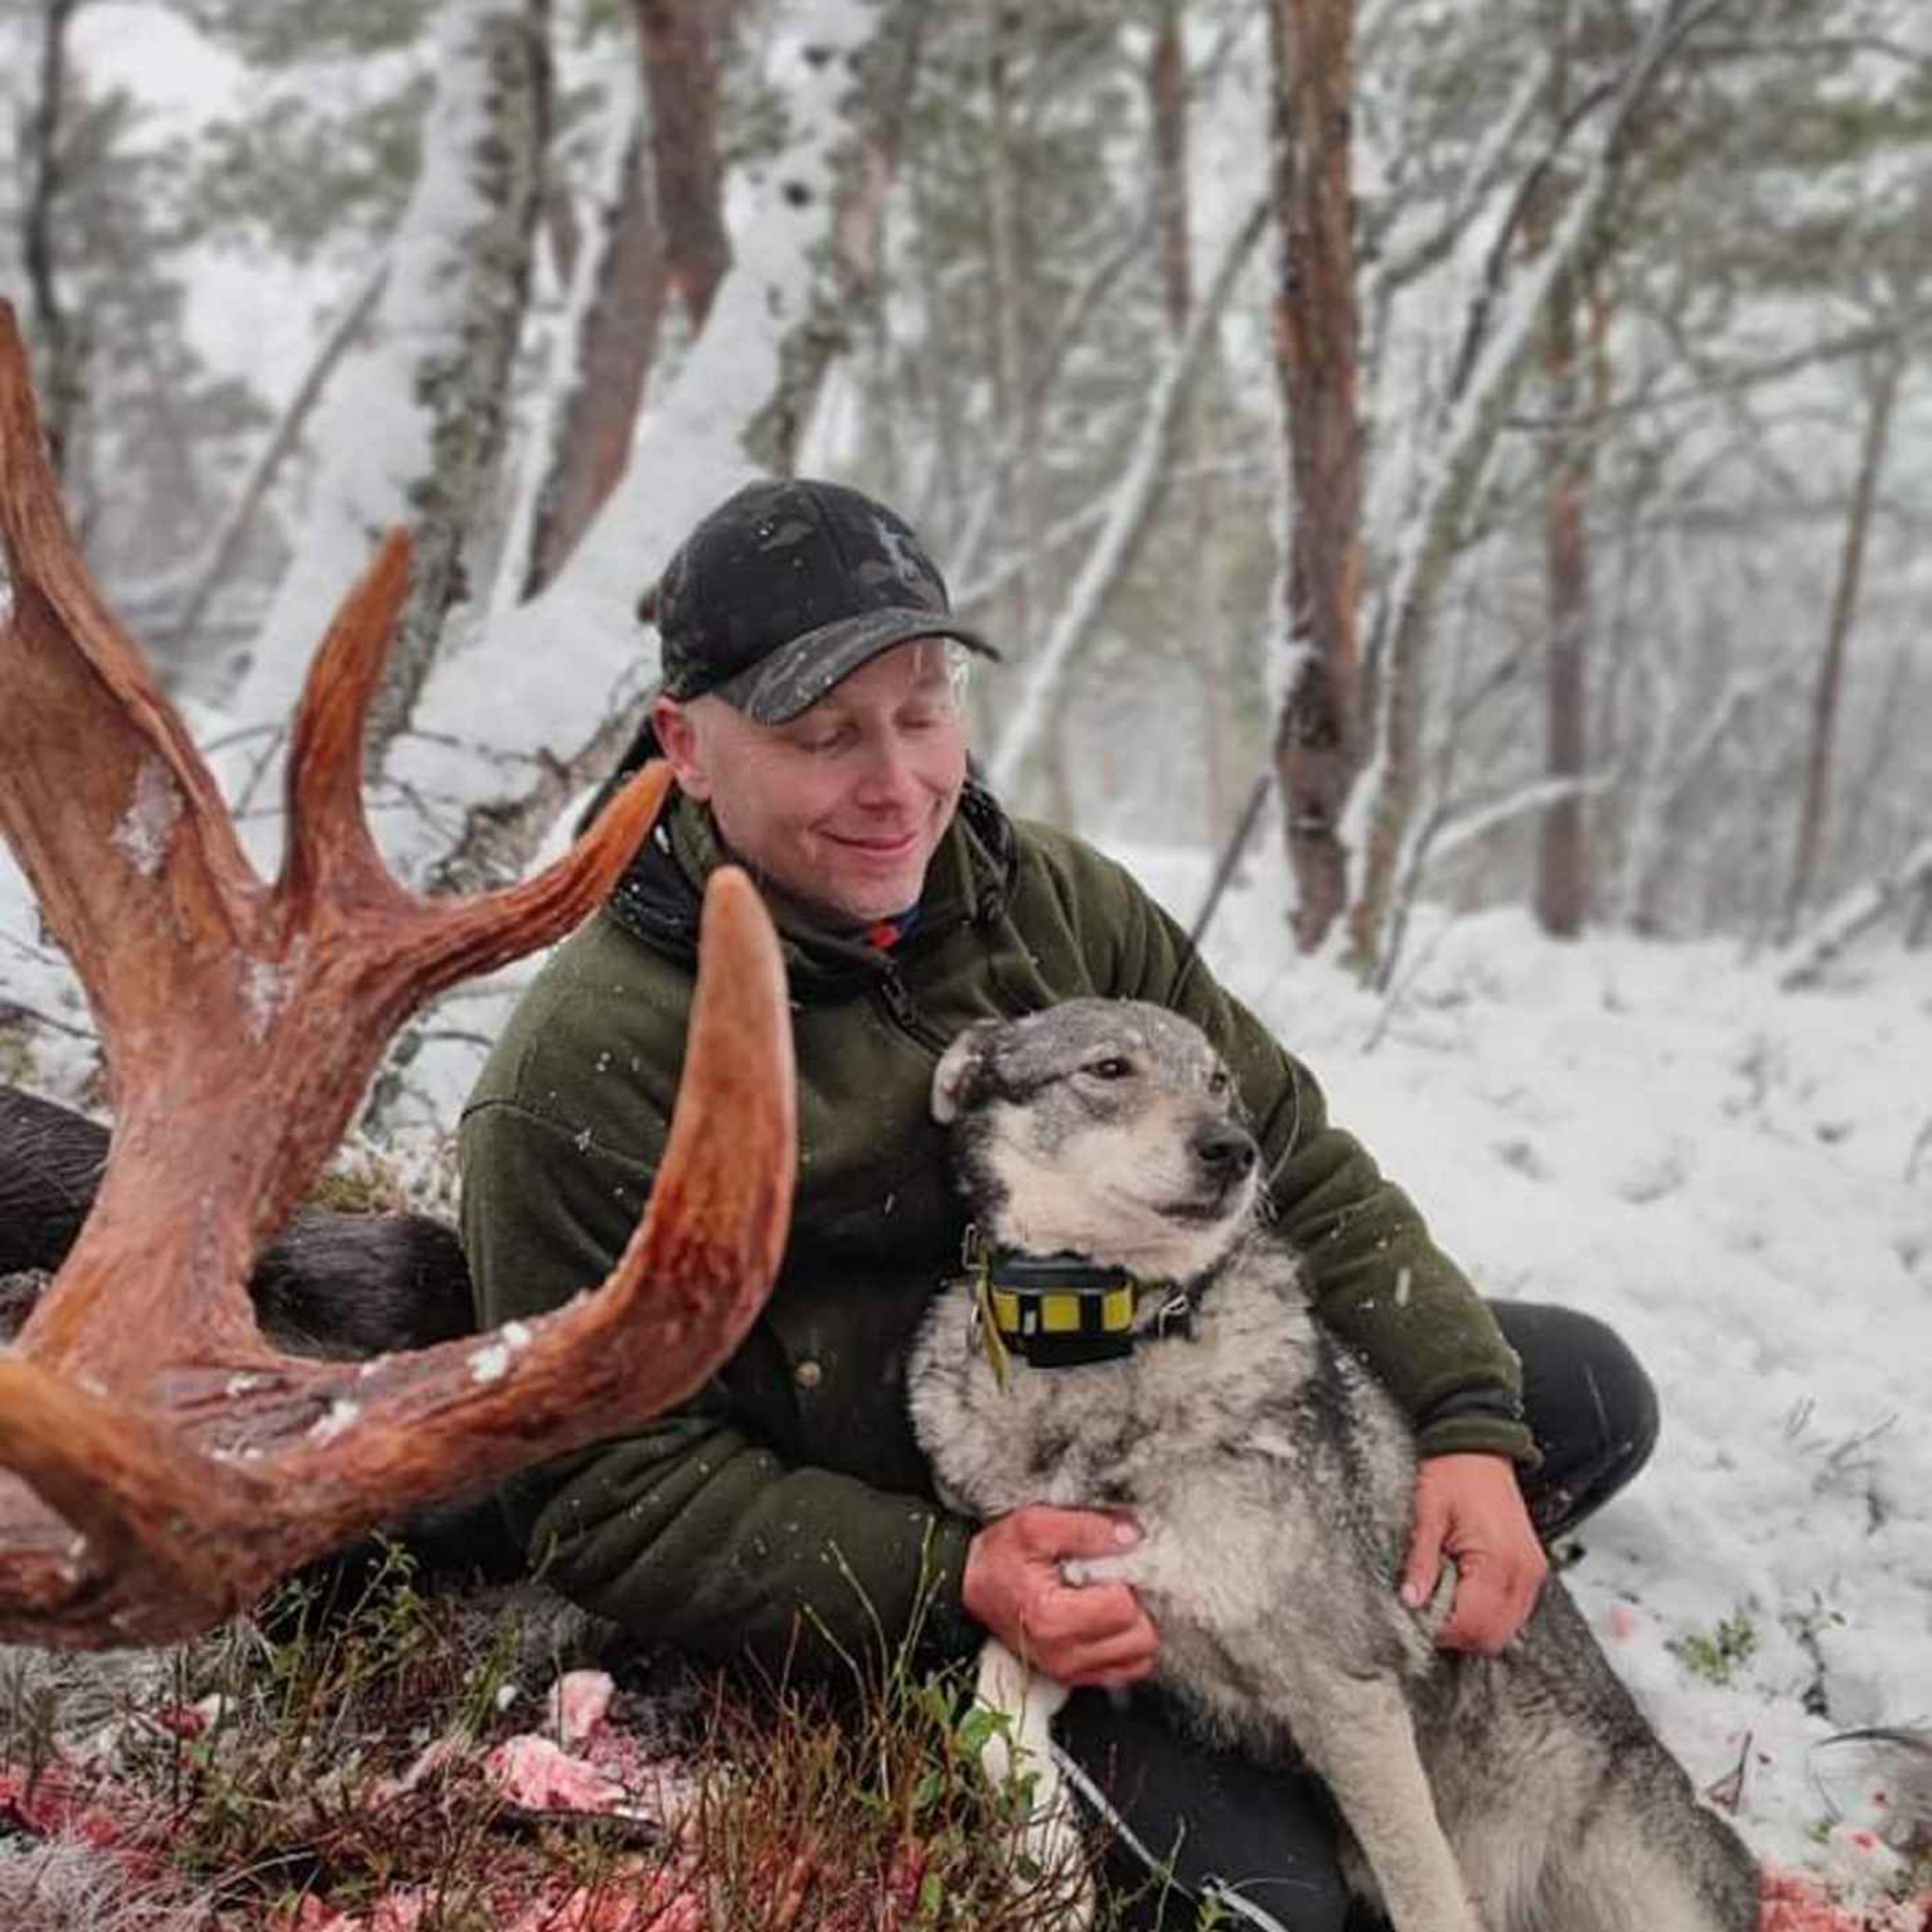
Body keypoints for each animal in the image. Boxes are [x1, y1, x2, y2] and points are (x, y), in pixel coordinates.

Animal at [908, 1005, 1770, 1924]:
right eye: (1109, 1069)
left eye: (1220, 1081)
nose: (1235, 1151)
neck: (1108, 1345)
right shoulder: (1076, 1615)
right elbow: (993, 1716)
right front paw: (1051, 1872)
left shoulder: (1346, 1687)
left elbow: (1427, 1894)